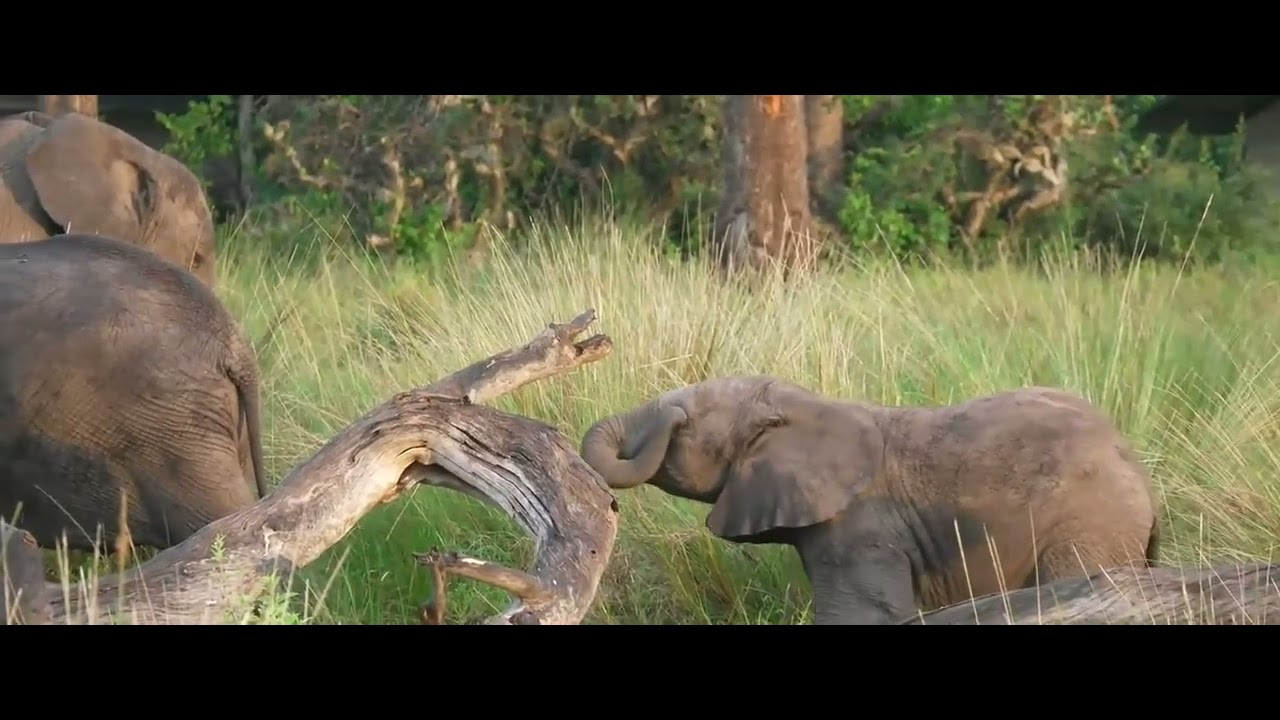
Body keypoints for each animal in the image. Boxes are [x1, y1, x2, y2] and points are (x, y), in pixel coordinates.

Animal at [580, 375, 1162, 625]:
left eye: (687, 424)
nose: (670, 413)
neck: (805, 404)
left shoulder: (864, 530)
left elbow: (861, 614)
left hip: (1088, 528)